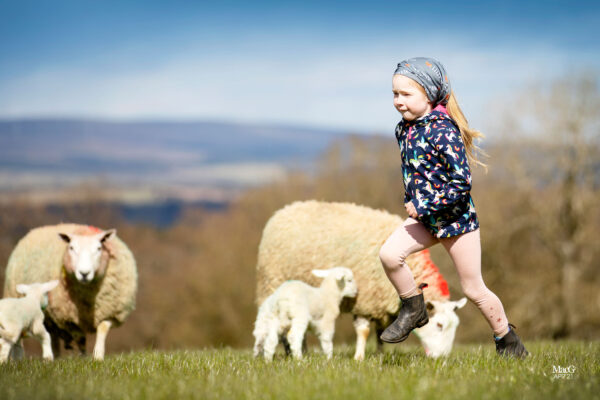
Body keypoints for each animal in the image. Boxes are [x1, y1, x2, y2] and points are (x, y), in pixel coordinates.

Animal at [3, 223, 137, 360]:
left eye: (99, 248)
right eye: (71, 248)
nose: (84, 273)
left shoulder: (111, 312)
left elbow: (102, 329)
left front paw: (98, 356)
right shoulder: (68, 319)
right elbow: (80, 338)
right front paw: (83, 358)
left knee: (52, 337)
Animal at [254, 202, 468, 360]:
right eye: (439, 325)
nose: (442, 358)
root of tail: (284, 210)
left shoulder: (380, 302)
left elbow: (381, 333)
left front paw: (380, 354)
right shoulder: (365, 298)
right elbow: (364, 331)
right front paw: (359, 358)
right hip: (271, 283)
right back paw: (291, 353)